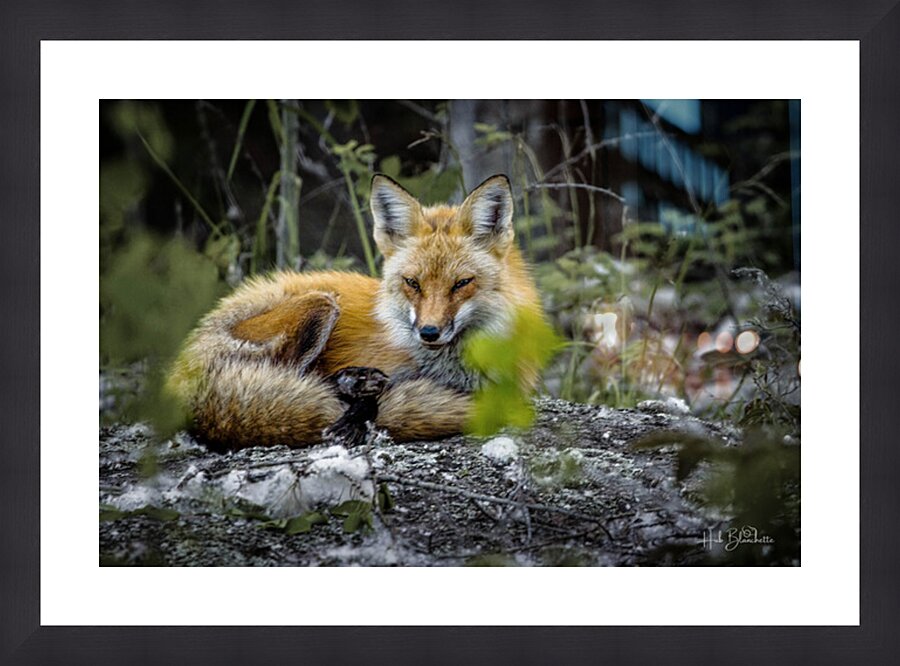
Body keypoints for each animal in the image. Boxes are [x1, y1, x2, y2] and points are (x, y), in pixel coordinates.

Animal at [166, 173, 544, 450]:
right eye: (412, 283)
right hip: (320, 304)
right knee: (296, 377)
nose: (429, 332)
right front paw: (356, 412)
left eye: (461, 283)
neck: (450, 371)